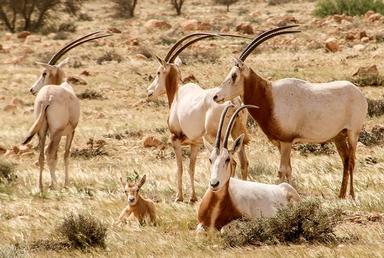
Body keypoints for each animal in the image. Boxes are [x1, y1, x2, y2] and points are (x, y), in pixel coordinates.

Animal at [21, 30, 111, 191]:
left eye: (44, 73)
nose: (31, 89)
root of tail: (47, 97)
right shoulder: (71, 131)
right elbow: (66, 154)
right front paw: (66, 183)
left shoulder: (50, 133)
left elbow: (57, 155)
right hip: (56, 132)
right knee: (49, 153)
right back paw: (55, 184)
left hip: (42, 131)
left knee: (42, 155)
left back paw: (40, 186)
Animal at [146, 32, 249, 203]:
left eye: (158, 72)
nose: (149, 92)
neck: (178, 94)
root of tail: (233, 102)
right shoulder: (195, 144)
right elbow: (191, 168)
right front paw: (193, 197)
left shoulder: (175, 139)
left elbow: (180, 167)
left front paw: (179, 197)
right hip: (236, 133)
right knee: (244, 162)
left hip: (217, 137)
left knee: (233, 162)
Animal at [214, 25, 368, 200]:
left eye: (234, 75)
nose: (216, 96)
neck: (269, 96)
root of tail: (359, 93)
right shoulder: (280, 143)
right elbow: (288, 170)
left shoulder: (287, 141)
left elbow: (283, 170)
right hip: (338, 136)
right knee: (346, 160)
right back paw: (340, 196)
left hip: (353, 133)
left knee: (352, 160)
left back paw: (352, 196)